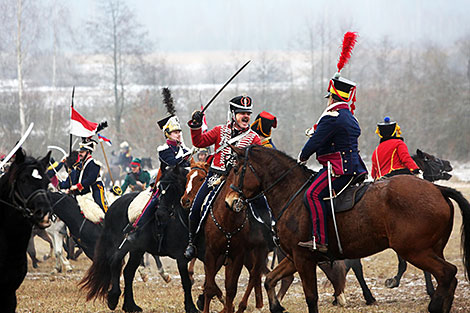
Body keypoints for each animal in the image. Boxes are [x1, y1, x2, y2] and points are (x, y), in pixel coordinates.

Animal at [79, 165, 204, 310]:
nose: (160, 214)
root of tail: (112, 206)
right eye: (159, 188)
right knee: (115, 262)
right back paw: (114, 298)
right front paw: (191, 307)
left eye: (173, 187)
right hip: (123, 245)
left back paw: (130, 305)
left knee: (128, 272)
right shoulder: (181, 256)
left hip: (137, 250)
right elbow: (186, 281)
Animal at [225, 146, 470, 312]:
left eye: (236, 169)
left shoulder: (303, 258)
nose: (229, 201)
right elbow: (270, 279)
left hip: (416, 251)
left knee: (448, 273)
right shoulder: (295, 257)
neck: (292, 193)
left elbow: (311, 297)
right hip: (429, 250)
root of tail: (438, 190)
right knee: (448, 278)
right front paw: (276, 306)